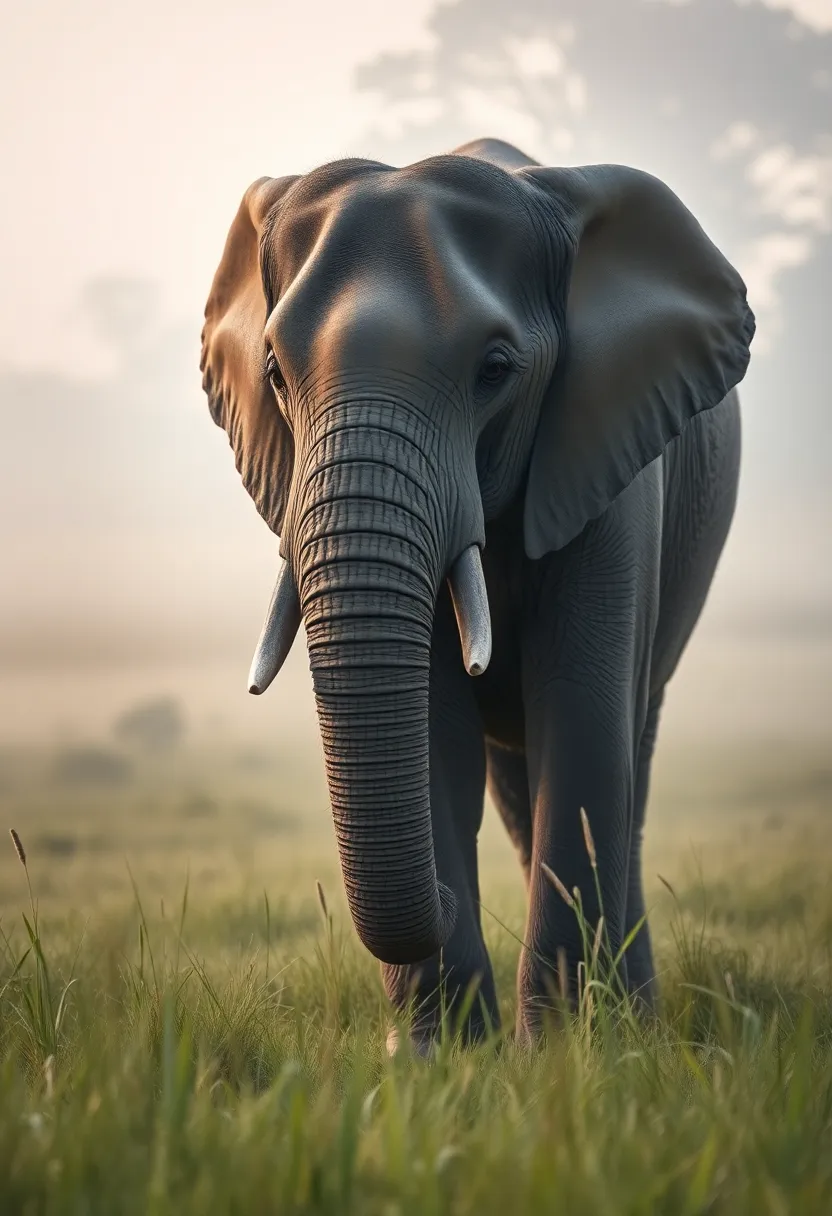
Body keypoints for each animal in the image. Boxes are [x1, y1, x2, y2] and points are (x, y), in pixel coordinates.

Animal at [200, 137, 753, 1046]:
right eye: (275, 373)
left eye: (495, 370)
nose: (449, 896)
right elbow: (437, 734)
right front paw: (440, 1057)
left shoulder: (608, 457)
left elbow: (583, 718)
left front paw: (566, 1055)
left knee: (623, 759)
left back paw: (631, 1024)